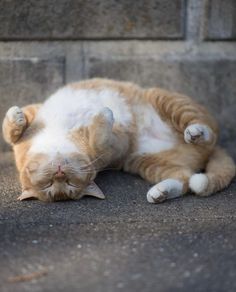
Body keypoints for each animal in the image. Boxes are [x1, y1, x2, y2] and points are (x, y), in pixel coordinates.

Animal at [2, 78, 236, 203]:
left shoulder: (36, 111)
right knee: (185, 179)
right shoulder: (117, 147)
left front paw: (15, 116)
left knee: (206, 128)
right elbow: (100, 137)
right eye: (51, 186)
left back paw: (196, 132)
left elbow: (10, 129)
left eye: (69, 183)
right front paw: (104, 116)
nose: (60, 173)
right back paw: (160, 193)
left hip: (167, 101)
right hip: (147, 162)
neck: (58, 137)